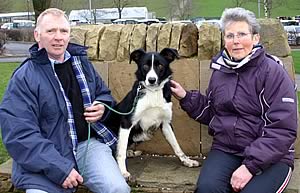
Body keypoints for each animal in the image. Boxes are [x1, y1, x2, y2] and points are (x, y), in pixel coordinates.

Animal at [108, 47, 199, 178]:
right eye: (145, 66)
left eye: (160, 65)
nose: (151, 80)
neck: (153, 91)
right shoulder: (127, 122)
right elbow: (121, 151)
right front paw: (123, 171)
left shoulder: (166, 123)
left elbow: (176, 145)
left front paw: (187, 161)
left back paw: (131, 152)